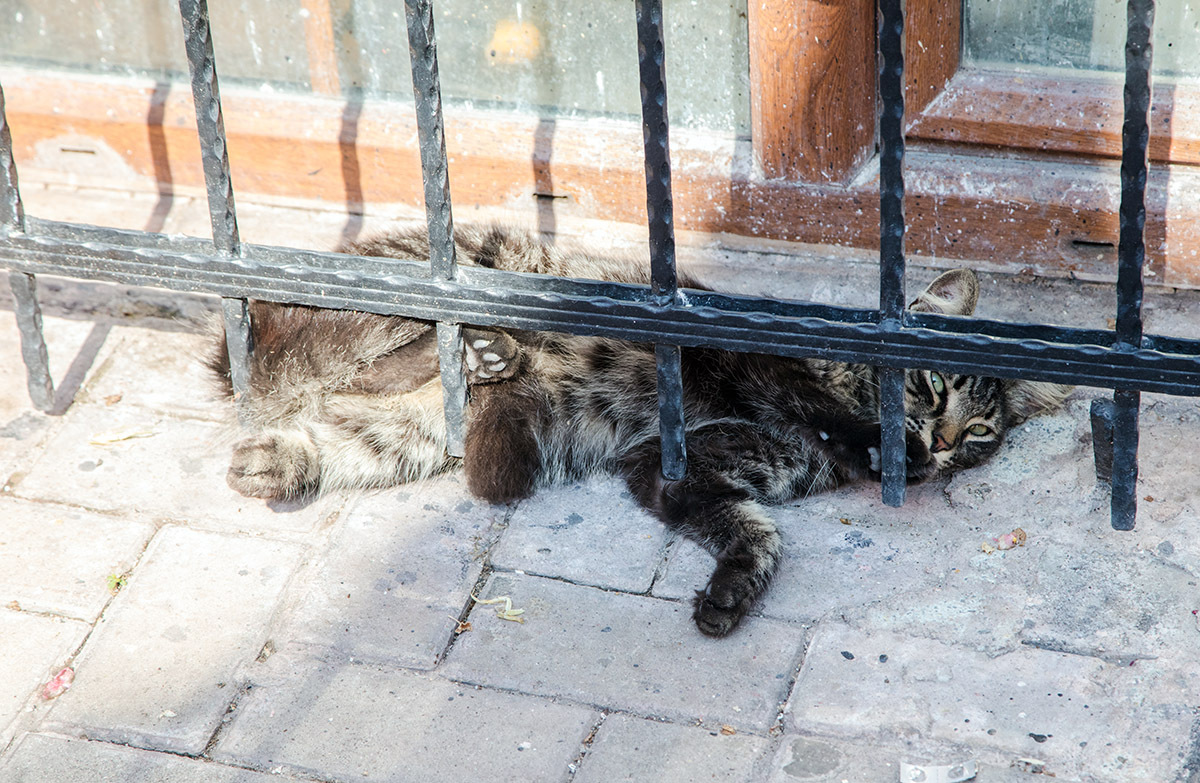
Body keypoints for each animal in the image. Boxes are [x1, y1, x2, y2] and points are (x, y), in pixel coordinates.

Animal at [211, 224, 1075, 634]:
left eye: (979, 435)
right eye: (930, 385)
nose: (938, 447)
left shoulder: (673, 464)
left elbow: (757, 530)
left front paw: (731, 592)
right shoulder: (748, 363)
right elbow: (819, 409)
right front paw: (877, 441)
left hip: (412, 436)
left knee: (436, 448)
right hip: (476, 257)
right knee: (336, 334)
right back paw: (480, 348)